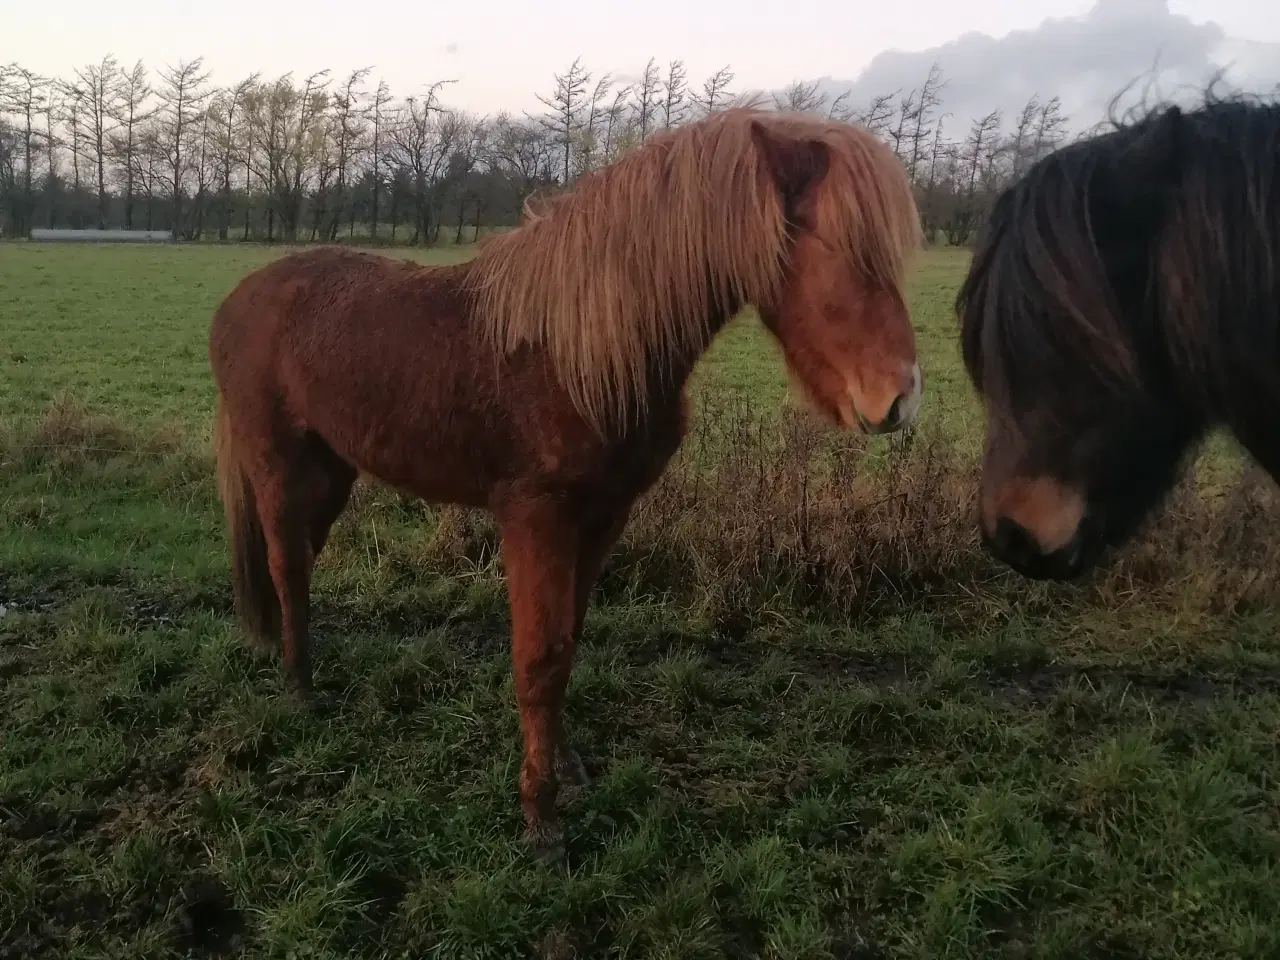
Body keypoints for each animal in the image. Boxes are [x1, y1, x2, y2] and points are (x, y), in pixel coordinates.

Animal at [209, 108, 921, 855]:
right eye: (833, 243)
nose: (898, 400)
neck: (581, 347)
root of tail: (239, 299)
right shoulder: (537, 516)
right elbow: (541, 657)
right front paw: (540, 814)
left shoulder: (605, 515)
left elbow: (570, 642)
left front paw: (567, 765)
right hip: (279, 464)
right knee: (286, 565)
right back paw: (300, 690)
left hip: (331, 472)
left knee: (297, 564)